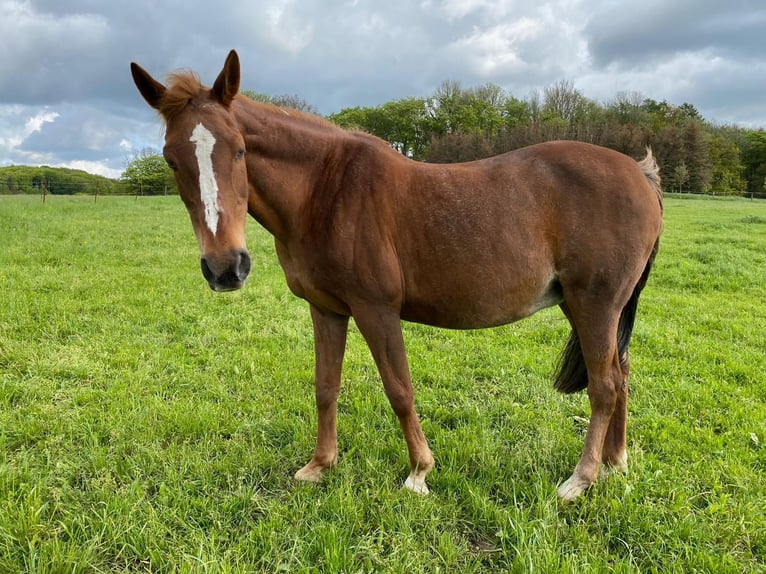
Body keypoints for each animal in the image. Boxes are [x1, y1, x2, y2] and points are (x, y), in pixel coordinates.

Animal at [129, 51, 664, 502]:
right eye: (171, 158)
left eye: (239, 150)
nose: (225, 267)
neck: (325, 190)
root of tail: (641, 176)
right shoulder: (326, 309)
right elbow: (326, 386)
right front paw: (320, 465)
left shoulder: (376, 310)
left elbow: (399, 390)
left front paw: (419, 472)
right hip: (595, 309)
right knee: (622, 373)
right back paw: (615, 462)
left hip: (594, 305)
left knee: (604, 386)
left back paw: (582, 478)